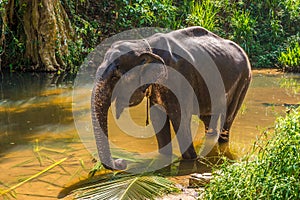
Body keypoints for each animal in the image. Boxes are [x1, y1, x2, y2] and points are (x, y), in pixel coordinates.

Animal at [91, 26, 251, 170]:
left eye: (114, 76)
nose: (121, 162)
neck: (144, 45)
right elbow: (157, 117)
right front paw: (164, 158)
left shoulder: (180, 79)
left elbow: (180, 117)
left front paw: (191, 159)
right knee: (208, 119)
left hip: (244, 80)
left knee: (227, 118)